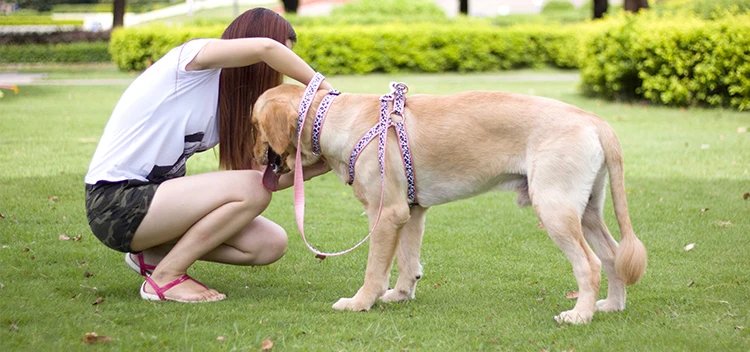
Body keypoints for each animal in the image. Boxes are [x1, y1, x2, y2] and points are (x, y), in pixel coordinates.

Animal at [251, 83, 648, 324]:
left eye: (254, 124)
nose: (252, 158)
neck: (336, 119)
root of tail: (595, 120)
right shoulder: (411, 212)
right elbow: (408, 261)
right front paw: (402, 293)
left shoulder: (387, 214)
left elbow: (375, 270)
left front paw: (361, 302)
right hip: (587, 211)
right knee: (613, 256)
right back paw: (611, 306)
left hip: (555, 209)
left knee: (590, 265)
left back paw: (580, 315)